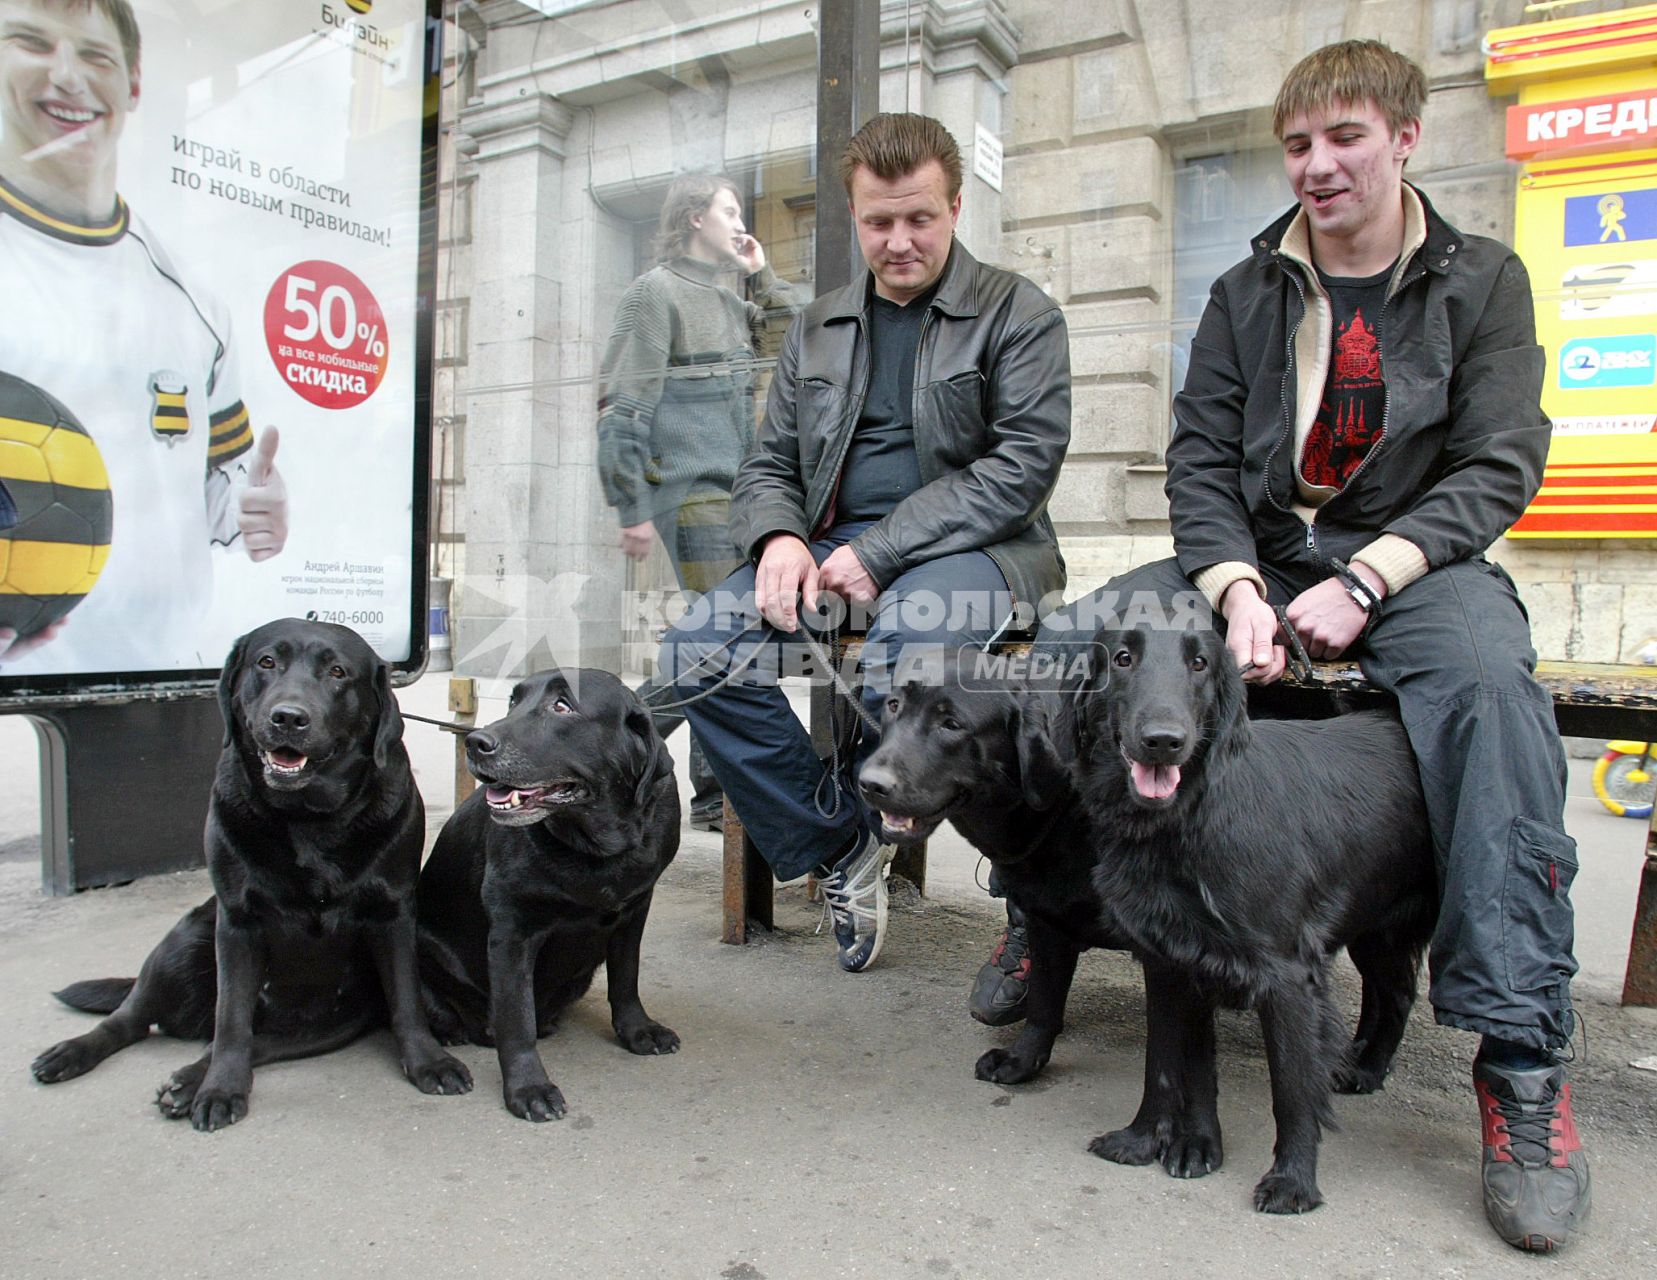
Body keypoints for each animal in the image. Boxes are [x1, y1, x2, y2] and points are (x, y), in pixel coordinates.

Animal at [30, 620, 473, 1127]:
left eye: (338, 672)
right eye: (266, 662)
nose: (289, 717)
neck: (311, 821)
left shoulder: (394, 913)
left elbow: (406, 1000)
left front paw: (428, 1061)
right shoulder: (237, 922)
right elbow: (231, 1019)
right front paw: (221, 1090)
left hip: (335, 1020)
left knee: (254, 1042)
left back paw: (186, 1081)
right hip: (183, 943)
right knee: (135, 1018)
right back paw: (74, 1054)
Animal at [1073, 603, 1438, 1213]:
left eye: (1199, 663)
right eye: (1121, 658)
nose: (1163, 741)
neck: (1186, 819)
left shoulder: (1286, 974)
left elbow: (1290, 1085)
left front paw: (1293, 1180)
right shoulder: (1173, 958)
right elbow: (1170, 1064)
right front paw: (1161, 1142)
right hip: (1375, 924)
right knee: (1397, 993)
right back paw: (1363, 1066)